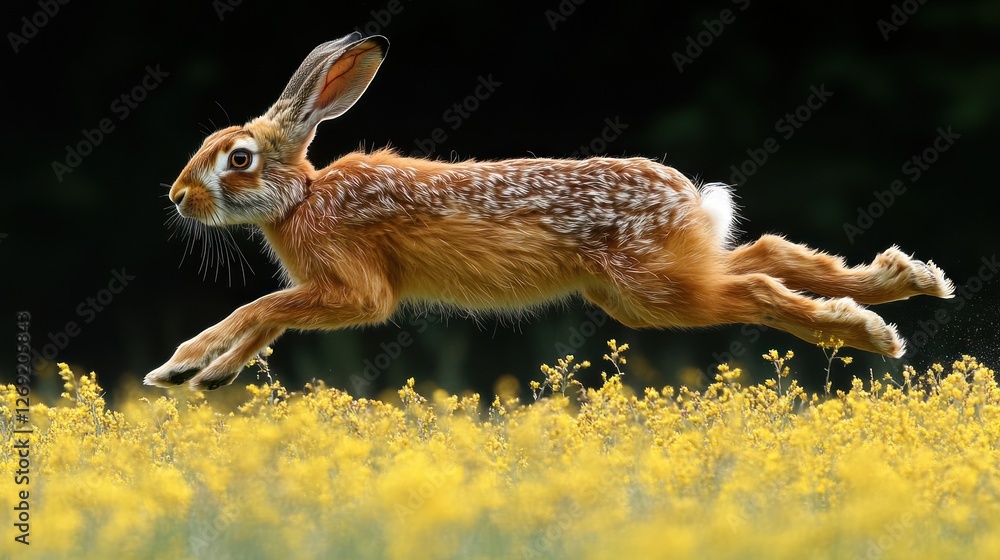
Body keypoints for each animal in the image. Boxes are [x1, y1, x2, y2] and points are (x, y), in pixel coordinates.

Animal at [145, 32, 955, 391]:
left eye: (238, 158)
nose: (178, 197)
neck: (303, 197)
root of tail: (688, 198)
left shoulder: (356, 291)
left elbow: (258, 310)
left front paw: (176, 367)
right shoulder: (326, 293)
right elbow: (266, 321)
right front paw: (202, 379)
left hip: (651, 290)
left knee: (753, 285)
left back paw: (872, 332)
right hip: (655, 284)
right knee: (766, 256)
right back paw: (908, 281)